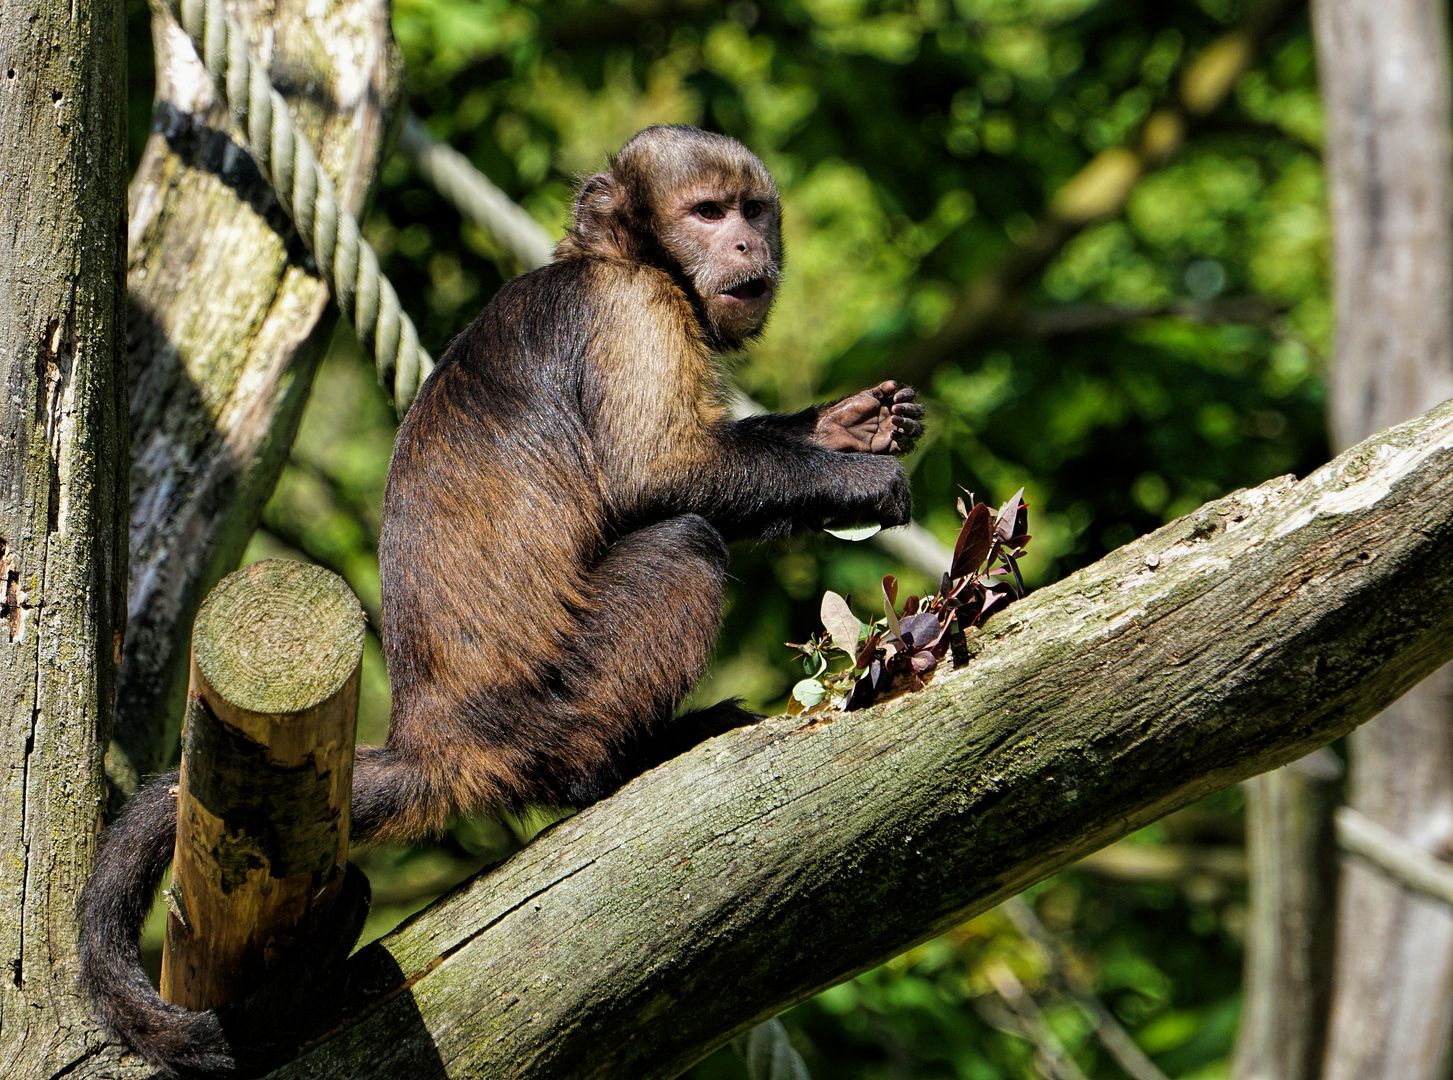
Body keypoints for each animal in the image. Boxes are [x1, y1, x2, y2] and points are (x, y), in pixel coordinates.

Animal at [79, 124, 918, 1075]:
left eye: (751, 211)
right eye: (707, 213)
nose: (747, 246)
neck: (615, 257)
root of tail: (436, 736)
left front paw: (843, 426)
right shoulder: (630, 308)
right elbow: (655, 476)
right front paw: (854, 480)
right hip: (548, 706)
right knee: (683, 544)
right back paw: (612, 765)